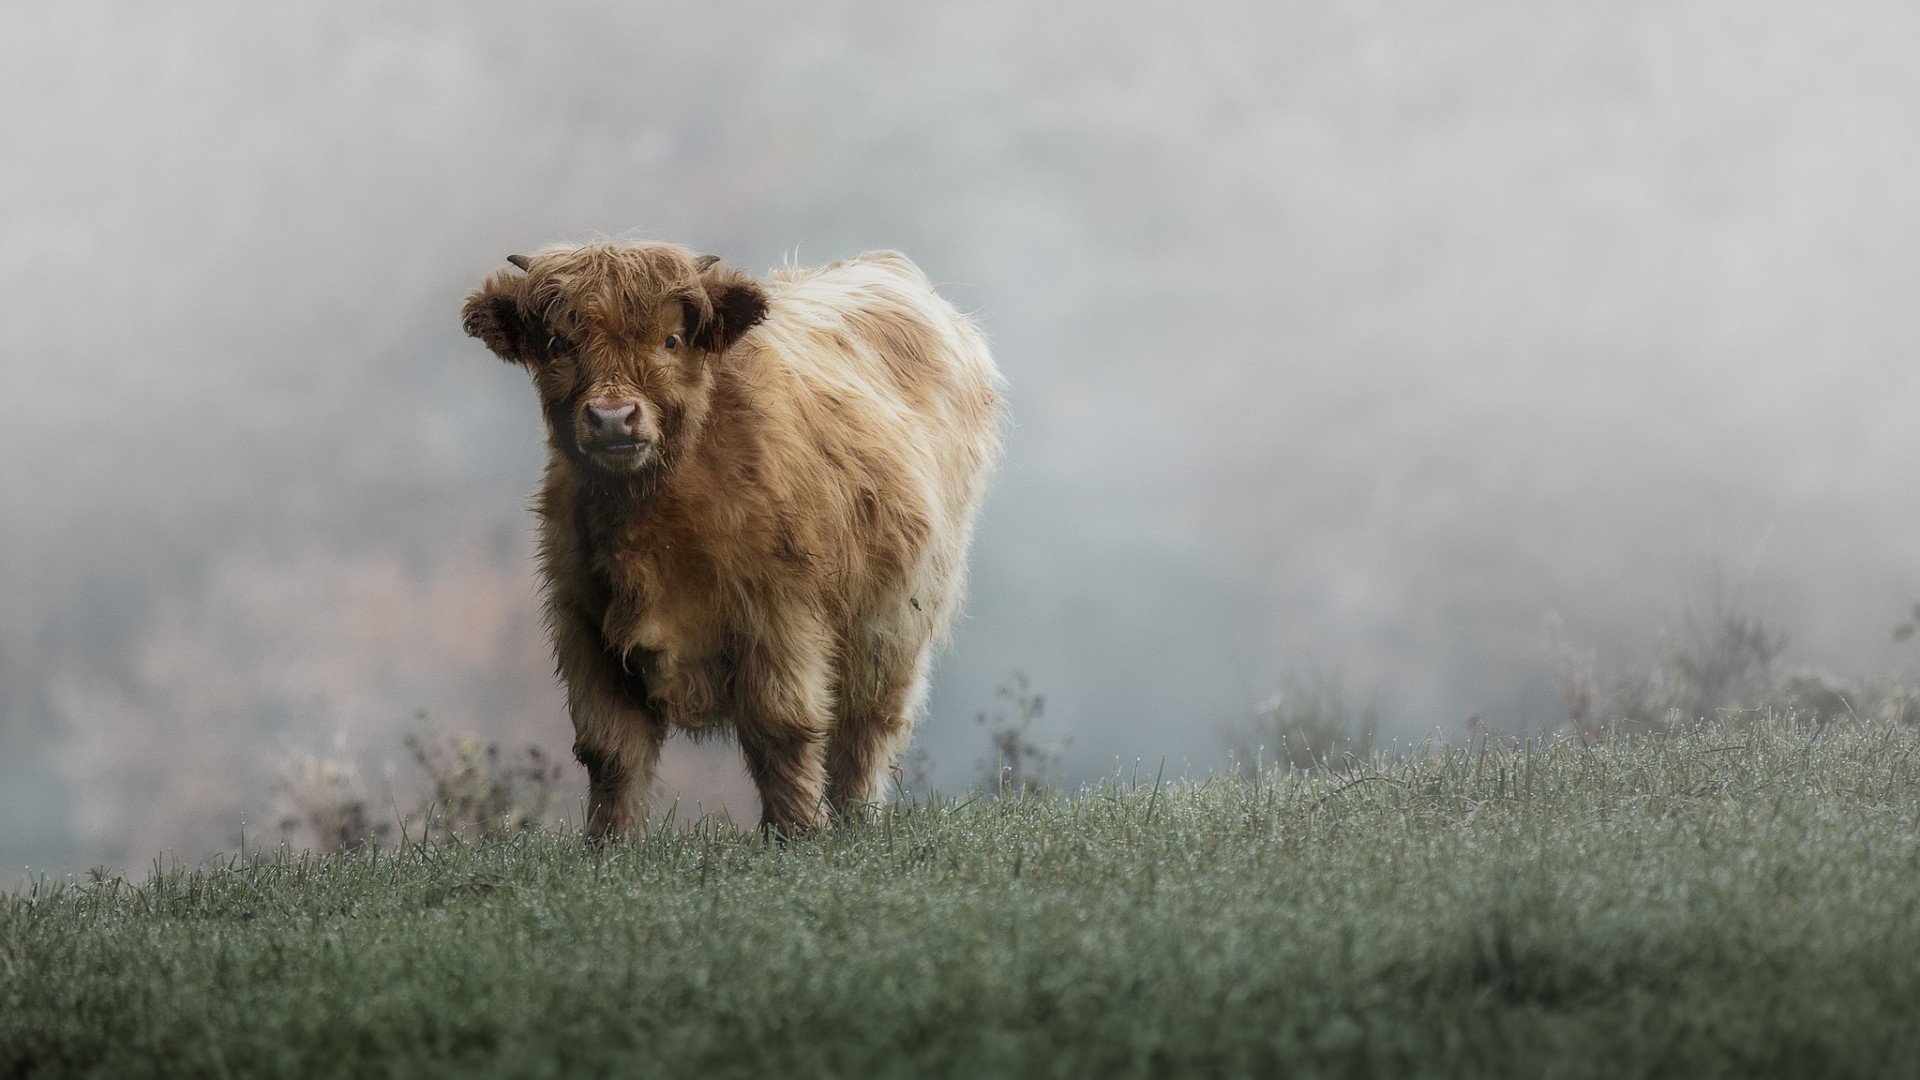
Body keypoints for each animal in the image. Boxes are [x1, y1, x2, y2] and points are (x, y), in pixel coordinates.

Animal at [461, 242, 1002, 835]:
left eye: (671, 340)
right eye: (560, 344)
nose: (613, 418)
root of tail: (886, 265)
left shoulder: (780, 618)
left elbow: (781, 729)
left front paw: (797, 834)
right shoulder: (583, 625)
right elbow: (611, 751)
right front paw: (610, 844)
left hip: (897, 620)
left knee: (867, 728)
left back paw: (855, 822)